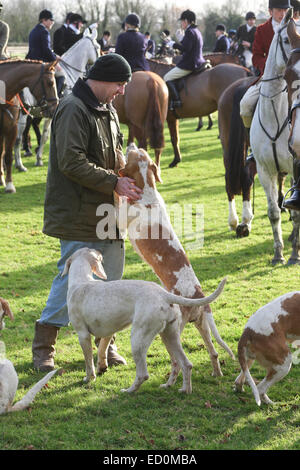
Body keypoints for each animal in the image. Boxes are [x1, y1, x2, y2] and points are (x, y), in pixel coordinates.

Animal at [14, 25, 99, 170]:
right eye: (98, 47)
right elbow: (45, 136)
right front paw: (39, 158)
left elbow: (44, 135)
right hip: (24, 113)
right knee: (18, 137)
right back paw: (19, 164)